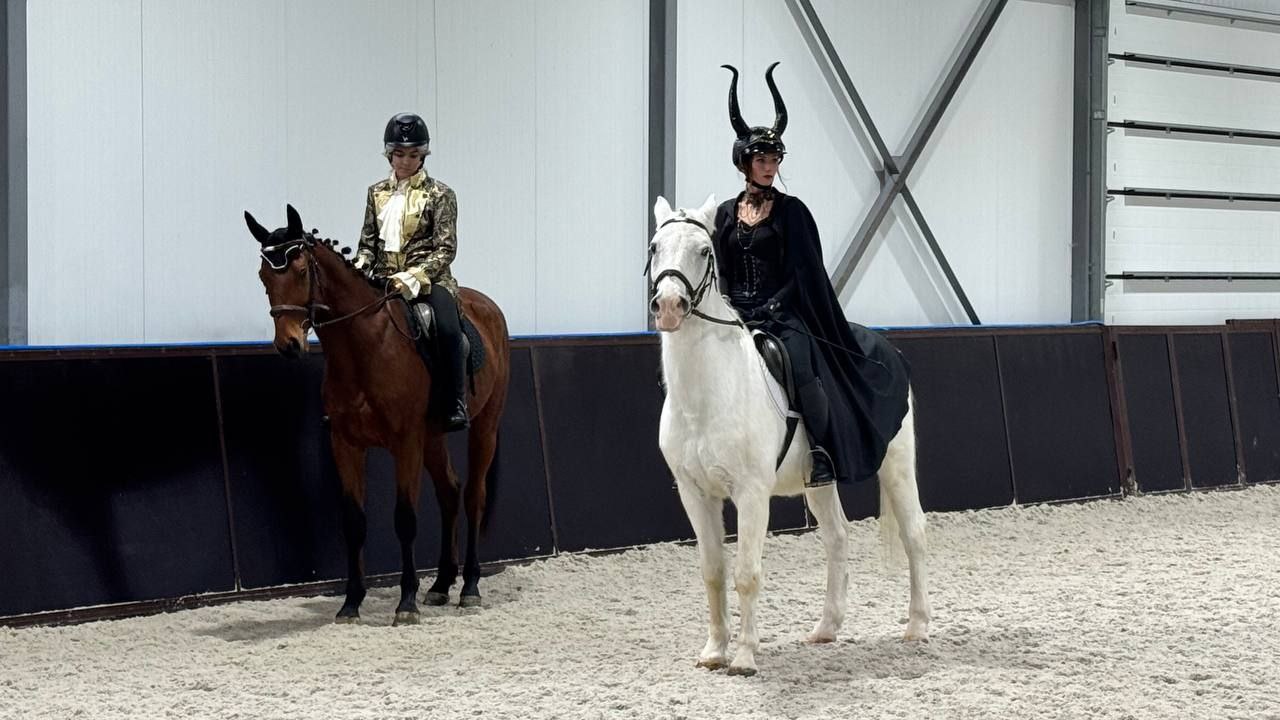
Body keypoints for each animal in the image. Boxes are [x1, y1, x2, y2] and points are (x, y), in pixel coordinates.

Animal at [244, 204, 510, 623]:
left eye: (301, 271)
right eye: (264, 276)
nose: (289, 345)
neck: (364, 346)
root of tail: (487, 307)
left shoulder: (405, 443)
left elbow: (405, 519)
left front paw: (406, 603)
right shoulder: (346, 444)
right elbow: (354, 522)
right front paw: (351, 604)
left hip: (485, 426)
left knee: (473, 497)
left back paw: (469, 587)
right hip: (432, 437)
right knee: (450, 492)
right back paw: (440, 585)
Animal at [647, 194, 930, 676]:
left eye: (704, 251)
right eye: (654, 247)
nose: (669, 305)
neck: (708, 393)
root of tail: (888, 349)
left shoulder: (751, 493)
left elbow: (746, 573)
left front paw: (744, 657)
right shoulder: (694, 493)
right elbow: (713, 571)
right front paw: (714, 651)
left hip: (895, 465)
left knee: (914, 533)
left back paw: (917, 626)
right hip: (820, 482)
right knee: (837, 538)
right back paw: (826, 629)